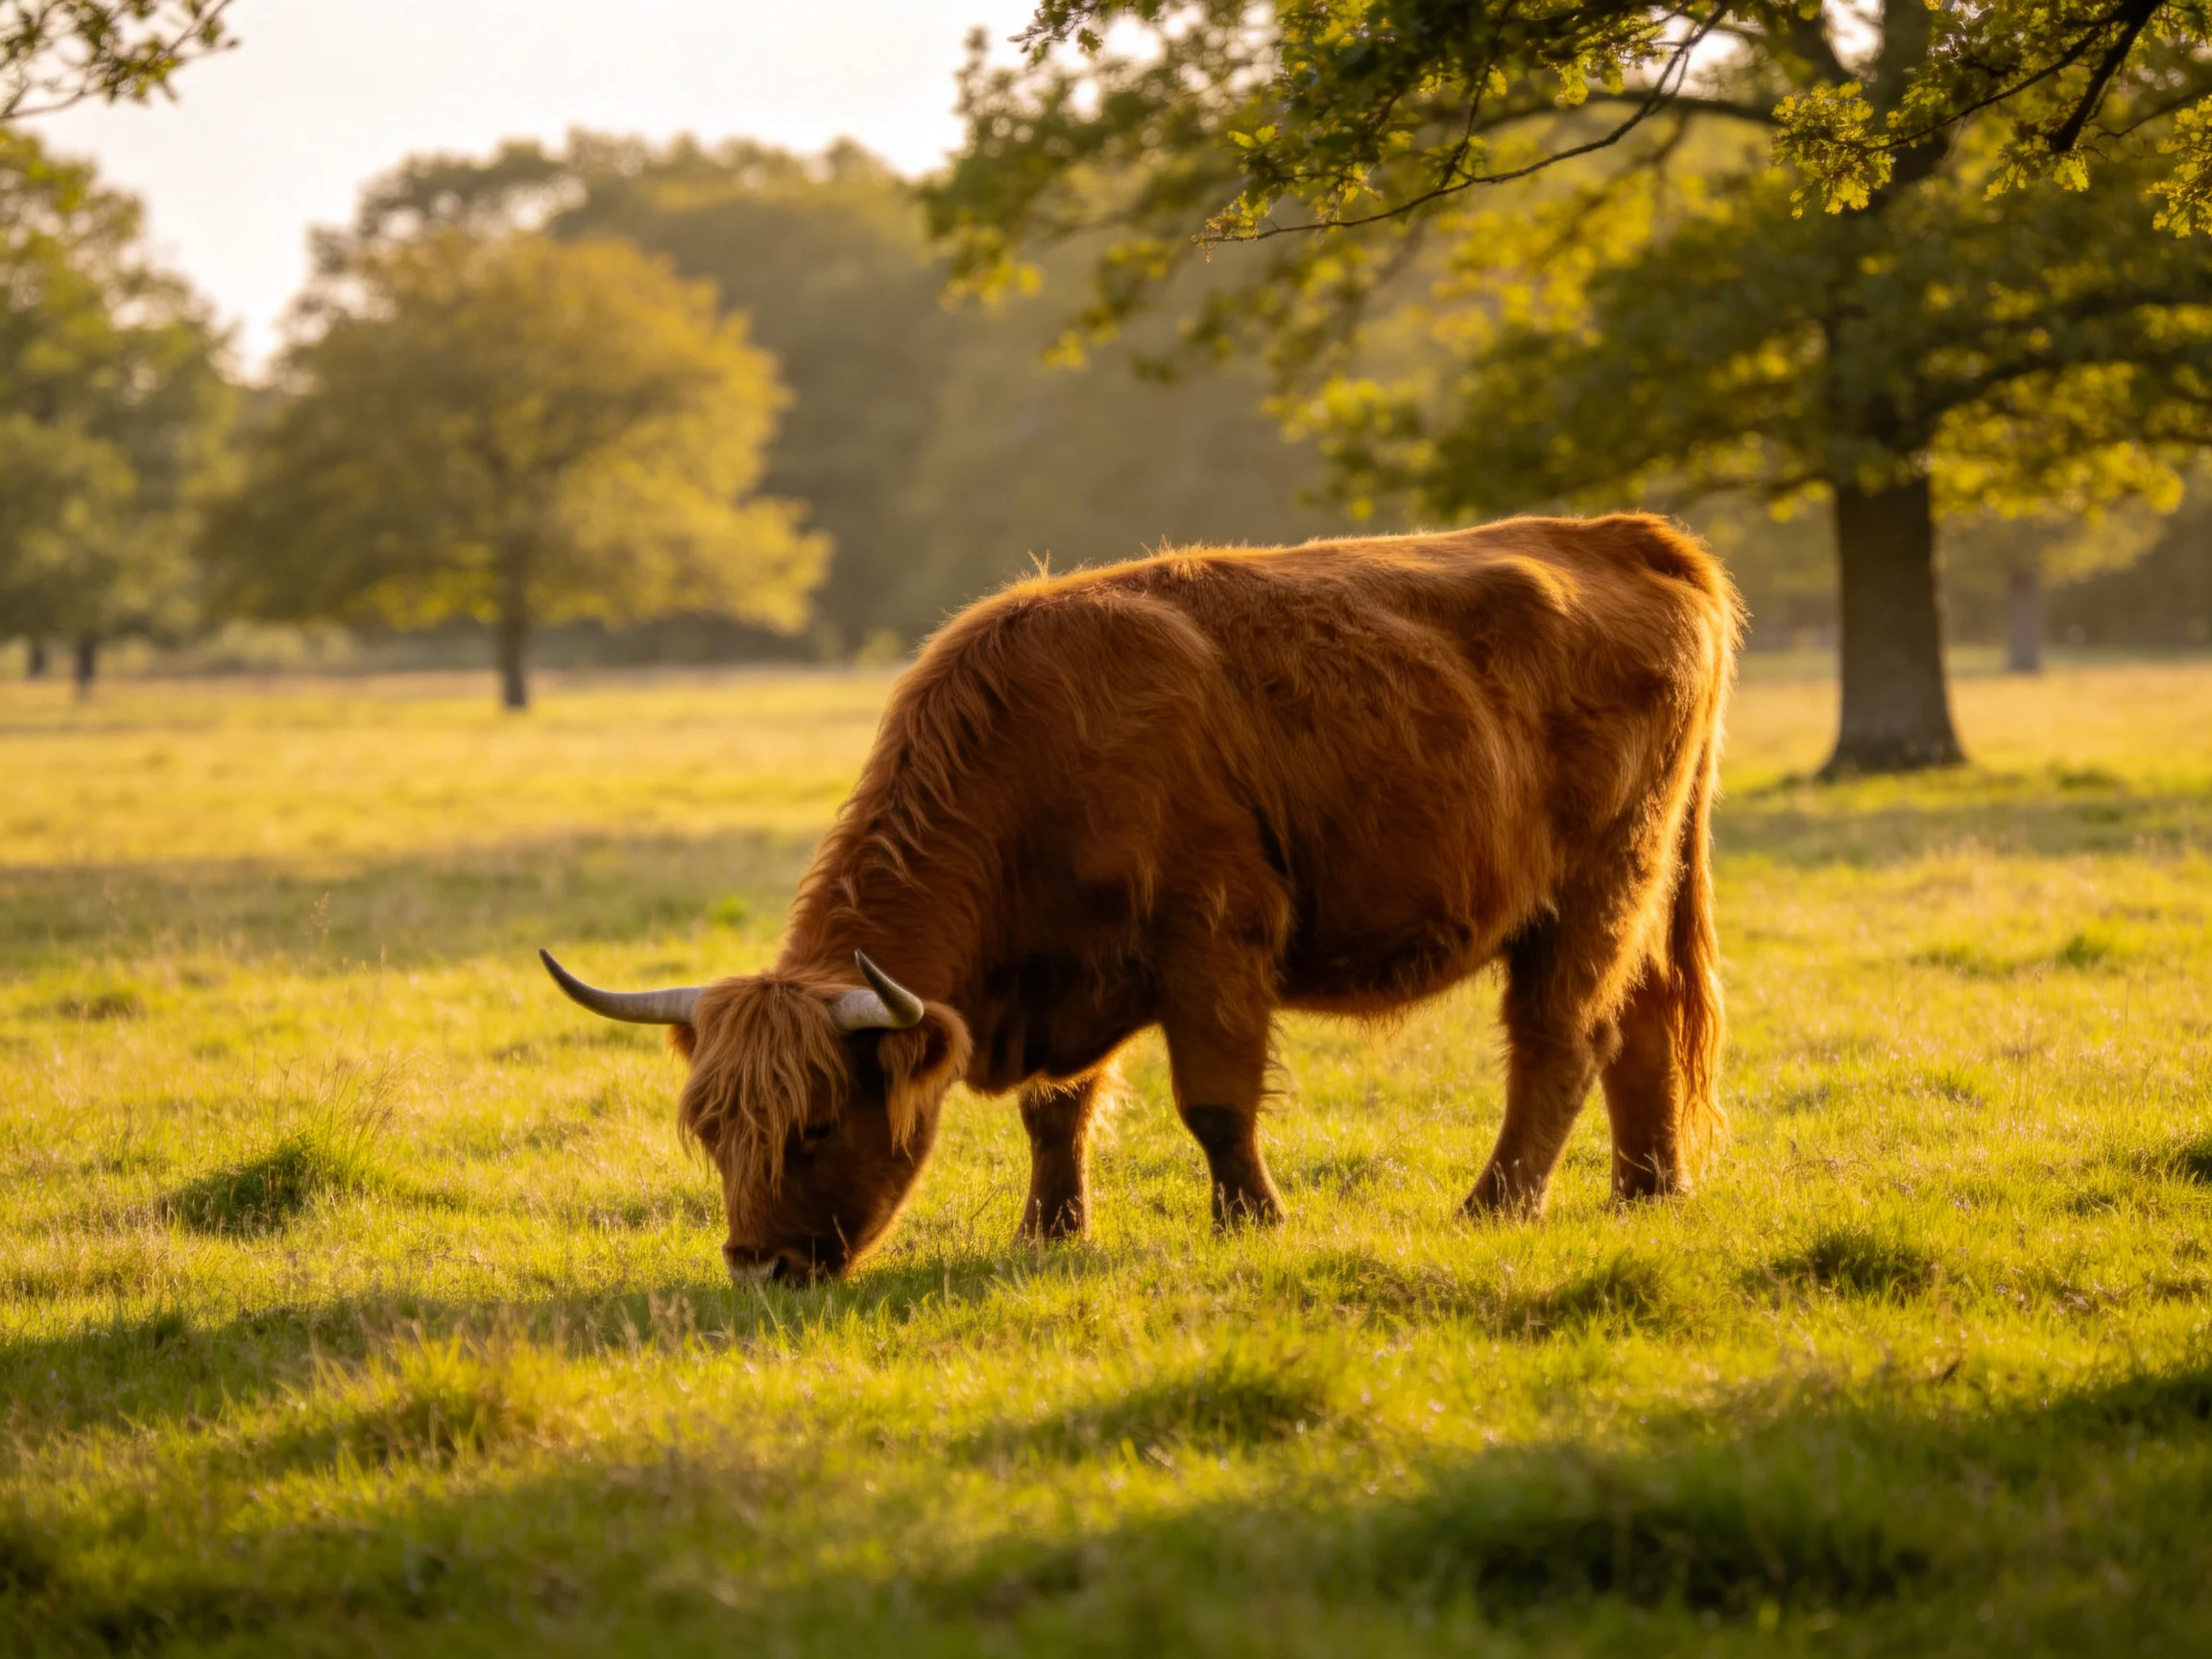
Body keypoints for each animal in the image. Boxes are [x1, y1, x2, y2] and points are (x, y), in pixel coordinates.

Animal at [541, 515, 1741, 1283]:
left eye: (817, 1124)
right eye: (712, 1131)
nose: (758, 1268)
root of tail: (1623, 532)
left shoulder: (1215, 940)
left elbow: (1213, 1103)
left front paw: (1252, 1222)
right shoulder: (1061, 979)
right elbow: (1056, 1109)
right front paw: (1048, 1233)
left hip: (1593, 887)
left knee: (1561, 1039)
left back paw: (1496, 1205)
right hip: (1646, 881)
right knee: (1642, 1023)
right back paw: (1649, 1192)